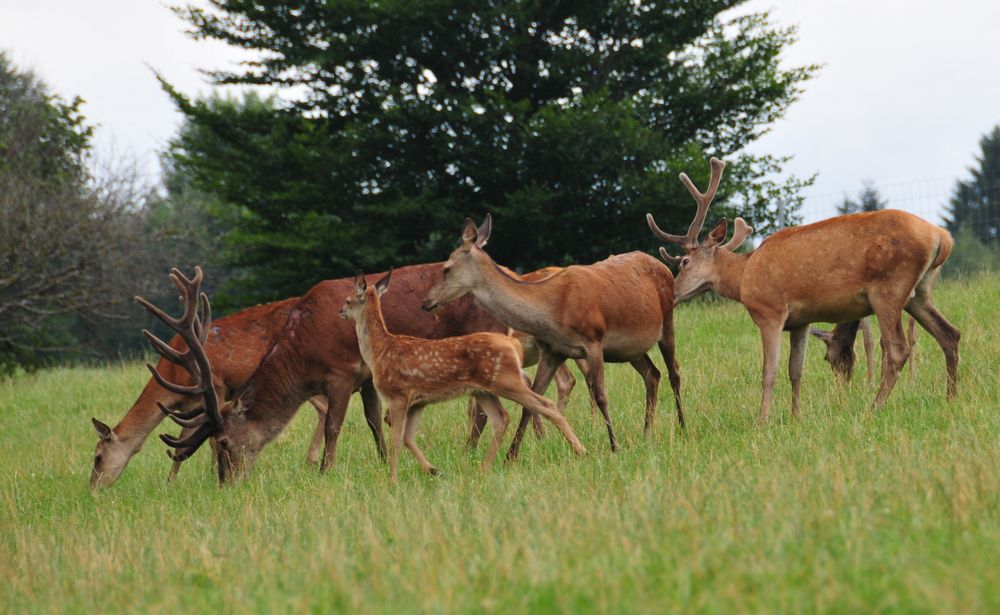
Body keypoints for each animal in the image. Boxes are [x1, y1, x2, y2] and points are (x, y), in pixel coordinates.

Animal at [90, 298, 368, 490]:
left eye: (97, 457)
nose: (92, 489)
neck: (173, 375)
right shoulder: (192, 404)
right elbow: (184, 441)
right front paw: (171, 482)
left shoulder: (216, 386)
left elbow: (208, 441)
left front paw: (209, 475)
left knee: (323, 407)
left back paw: (311, 460)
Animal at [340, 270, 584, 482]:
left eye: (348, 300)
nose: (341, 311)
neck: (379, 351)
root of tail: (513, 345)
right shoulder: (418, 401)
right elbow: (409, 438)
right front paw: (434, 470)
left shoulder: (398, 395)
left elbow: (396, 441)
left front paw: (392, 480)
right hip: (484, 390)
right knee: (501, 418)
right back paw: (484, 468)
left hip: (506, 380)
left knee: (544, 404)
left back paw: (581, 451)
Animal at [422, 214, 688, 460]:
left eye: (446, 269)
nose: (426, 302)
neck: (552, 312)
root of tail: (662, 265)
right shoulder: (552, 351)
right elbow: (532, 402)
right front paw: (511, 456)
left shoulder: (593, 341)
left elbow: (601, 396)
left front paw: (614, 446)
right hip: (631, 349)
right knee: (652, 374)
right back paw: (647, 433)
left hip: (668, 319)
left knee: (674, 371)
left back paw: (682, 427)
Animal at [648, 158, 960, 424]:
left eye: (684, 262)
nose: (673, 293)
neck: (744, 276)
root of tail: (941, 237)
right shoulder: (801, 321)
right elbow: (795, 371)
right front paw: (795, 417)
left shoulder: (770, 311)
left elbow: (769, 371)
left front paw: (762, 421)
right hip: (919, 291)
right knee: (950, 334)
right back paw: (951, 397)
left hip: (889, 287)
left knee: (897, 348)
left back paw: (874, 408)